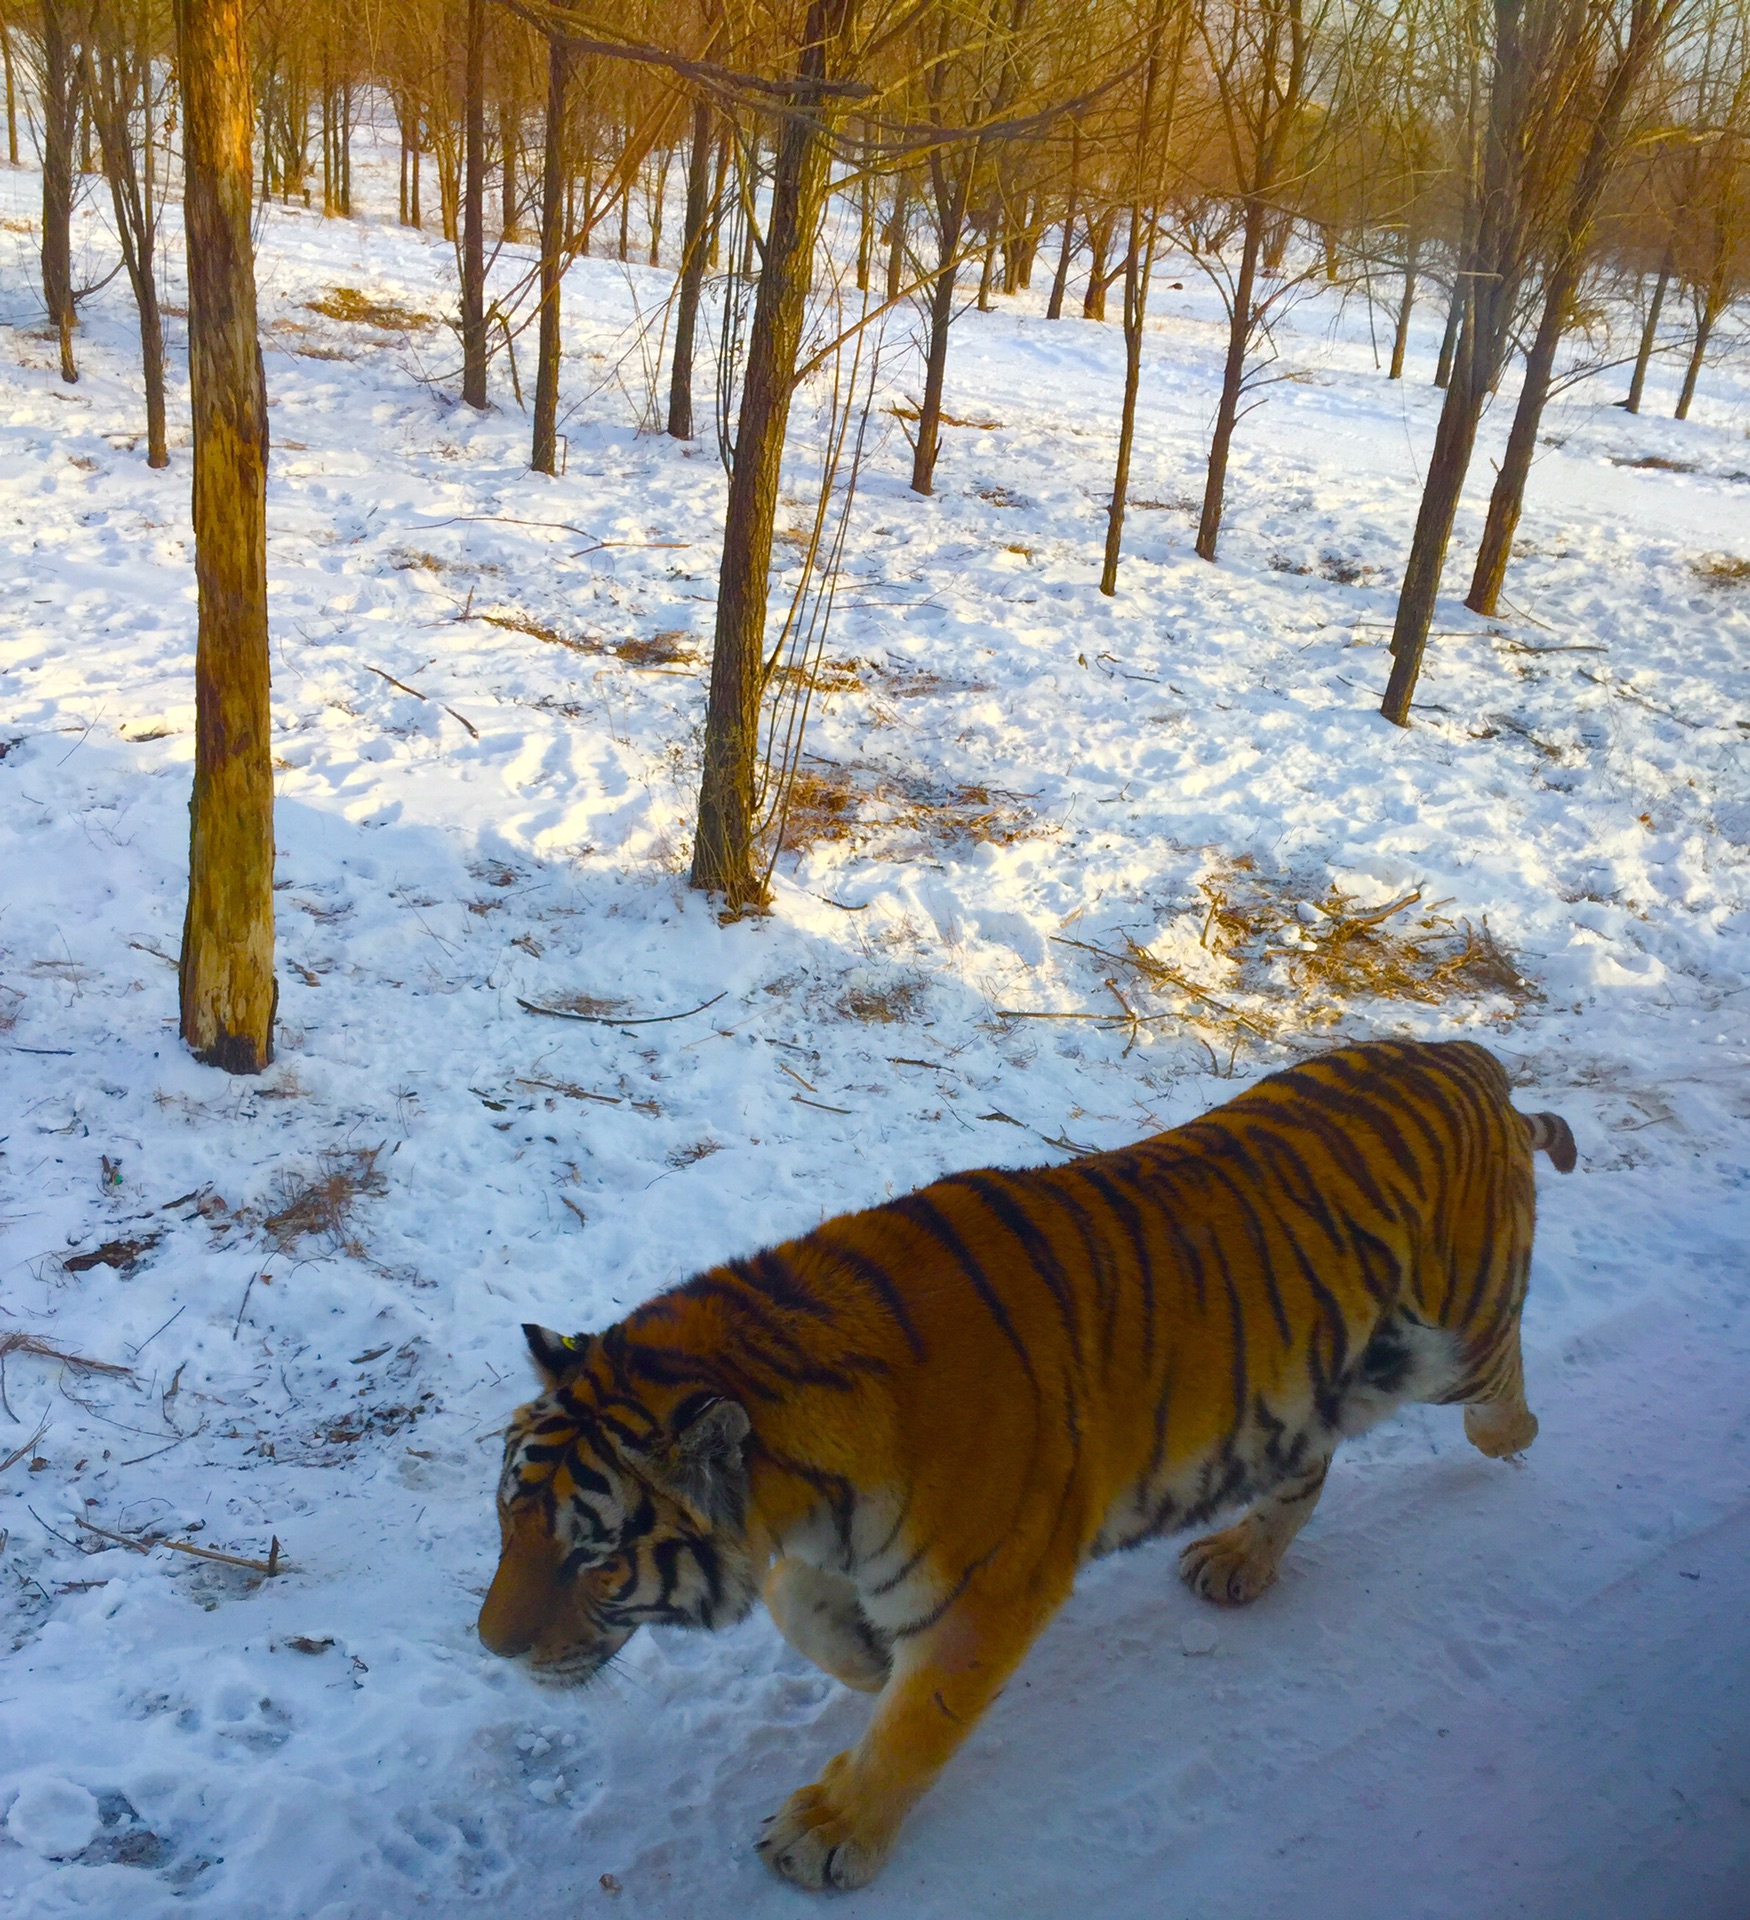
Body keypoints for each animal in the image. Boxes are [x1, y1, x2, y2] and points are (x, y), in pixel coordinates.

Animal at [482, 1036, 1590, 1889]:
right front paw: (865, 1656)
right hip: (1315, 1379)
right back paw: (1238, 1561)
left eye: (593, 1555)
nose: (490, 1648)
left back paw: (1512, 1436)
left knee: (1497, 1383)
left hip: (1450, 1338)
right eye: (507, 1521)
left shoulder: (989, 1587)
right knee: (1306, 1467)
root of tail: (1472, 1058)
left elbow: (913, 1727)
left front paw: (828, 1833)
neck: (802, 1472)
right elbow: (801, 1604)